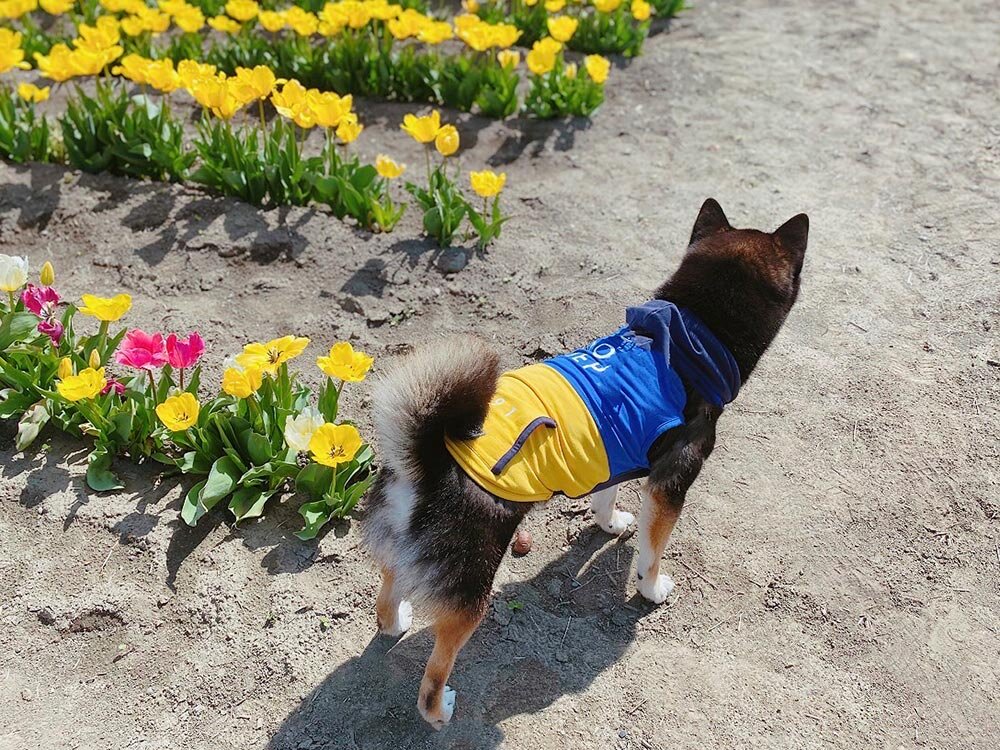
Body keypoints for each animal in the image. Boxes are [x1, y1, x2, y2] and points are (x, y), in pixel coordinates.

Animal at [364, 198, 808, 728]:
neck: (692, 337)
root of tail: (425, 464)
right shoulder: (670, 485)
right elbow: (651, 553)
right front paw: (651, 587)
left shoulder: (612, 450)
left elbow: (605, 496)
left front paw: (610, 522)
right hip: (472, 589)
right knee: (432, 680)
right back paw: (441, 709)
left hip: (402, 553)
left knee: (386, 597)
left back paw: (396, 622)